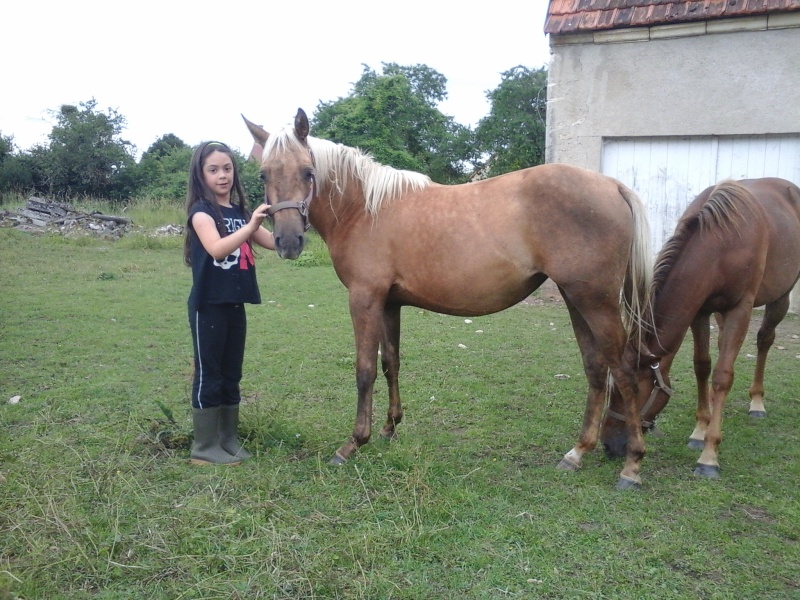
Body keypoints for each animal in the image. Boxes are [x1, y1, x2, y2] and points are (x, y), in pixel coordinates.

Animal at [247, 110, 652, 490]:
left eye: (308, 172)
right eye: (264, 175)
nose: (288, 241)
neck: (364, 209)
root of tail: (611, 185)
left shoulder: (365, 299)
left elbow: (364, 371)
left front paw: (353, 443)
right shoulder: (389, 304)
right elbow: (390, 363)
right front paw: (389, 428)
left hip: (596, 302)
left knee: (624, 372)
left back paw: (632, 465)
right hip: (576, 298)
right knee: (596, 369)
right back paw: (577, 452)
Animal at [600, 177, 800, 478]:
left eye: (632, 391)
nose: (607, 443)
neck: (722, 243)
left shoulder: (740, 308)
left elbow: (722, 376)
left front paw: (709, 455)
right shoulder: (701, 310)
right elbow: (703, 366)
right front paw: (699, 430)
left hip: (780, 297)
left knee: (764, 340)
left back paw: (757, 403)